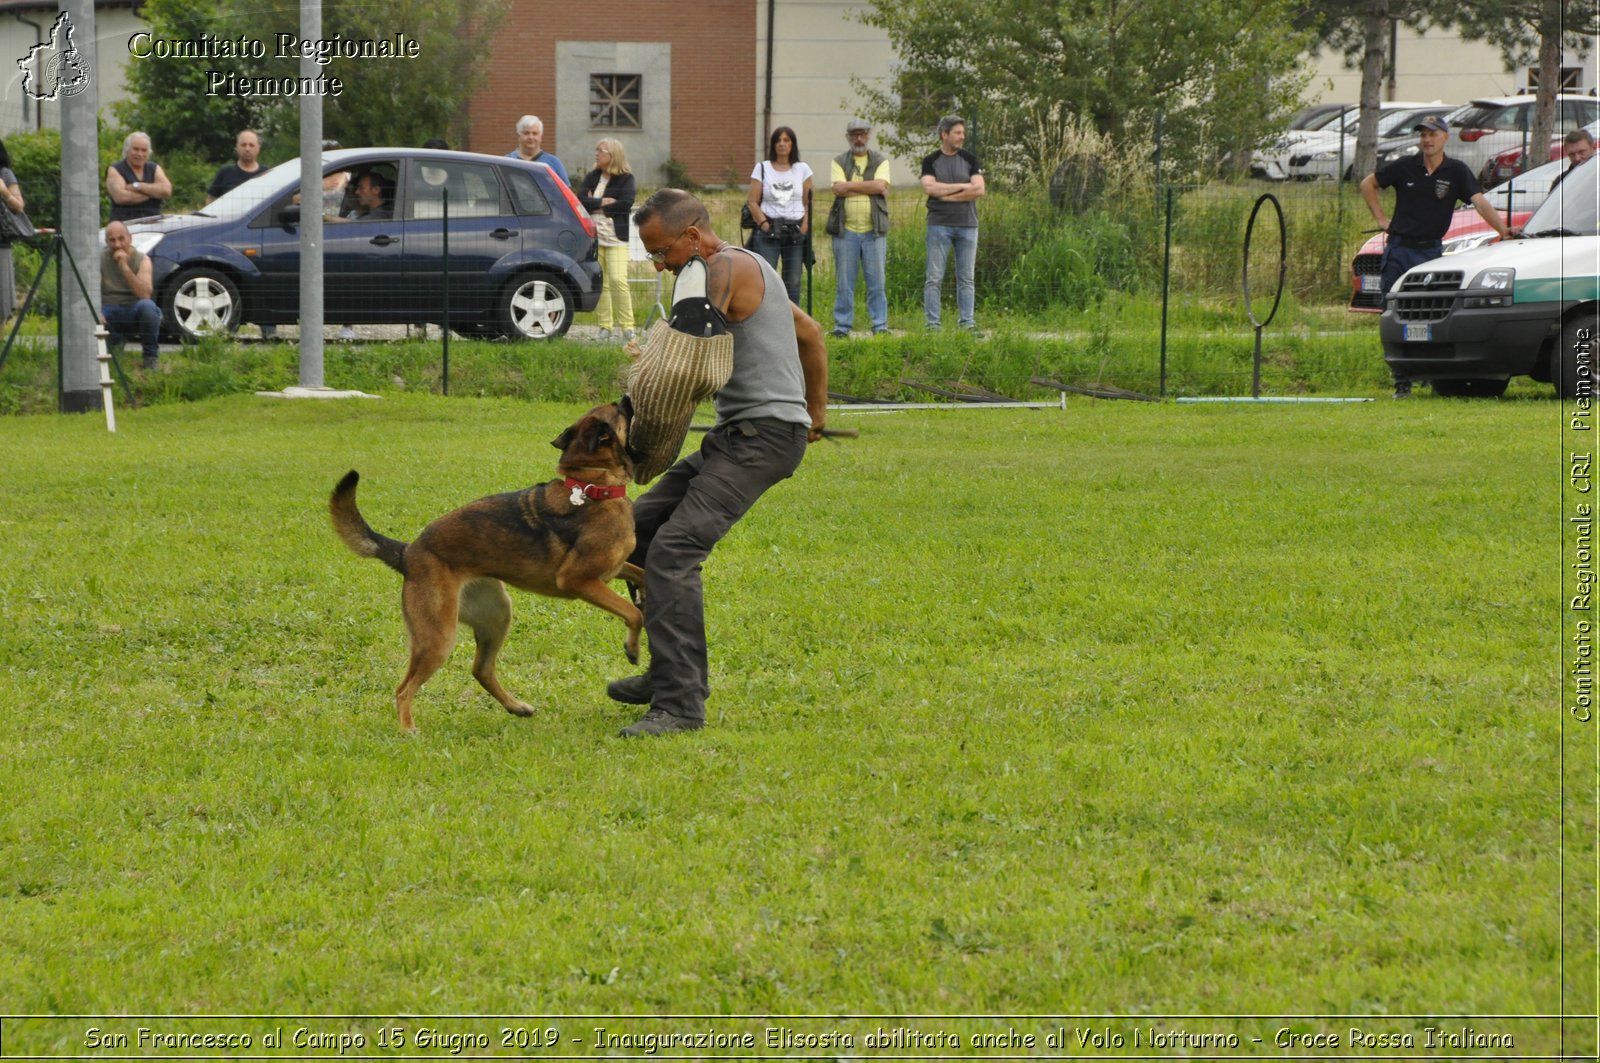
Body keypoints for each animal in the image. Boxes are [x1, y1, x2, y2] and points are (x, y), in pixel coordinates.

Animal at [331, 400, 643, 730]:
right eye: (618, 410)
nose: (627, 398)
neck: (592, 485)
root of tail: (408, 552)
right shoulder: (579, 580)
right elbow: (633, 613)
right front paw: (633, 648)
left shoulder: (613, 569)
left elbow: (642, 575)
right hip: (438, 637)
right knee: (404, 689)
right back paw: (407, 729)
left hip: (496, 616)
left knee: (480, 670)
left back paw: (516, 707)